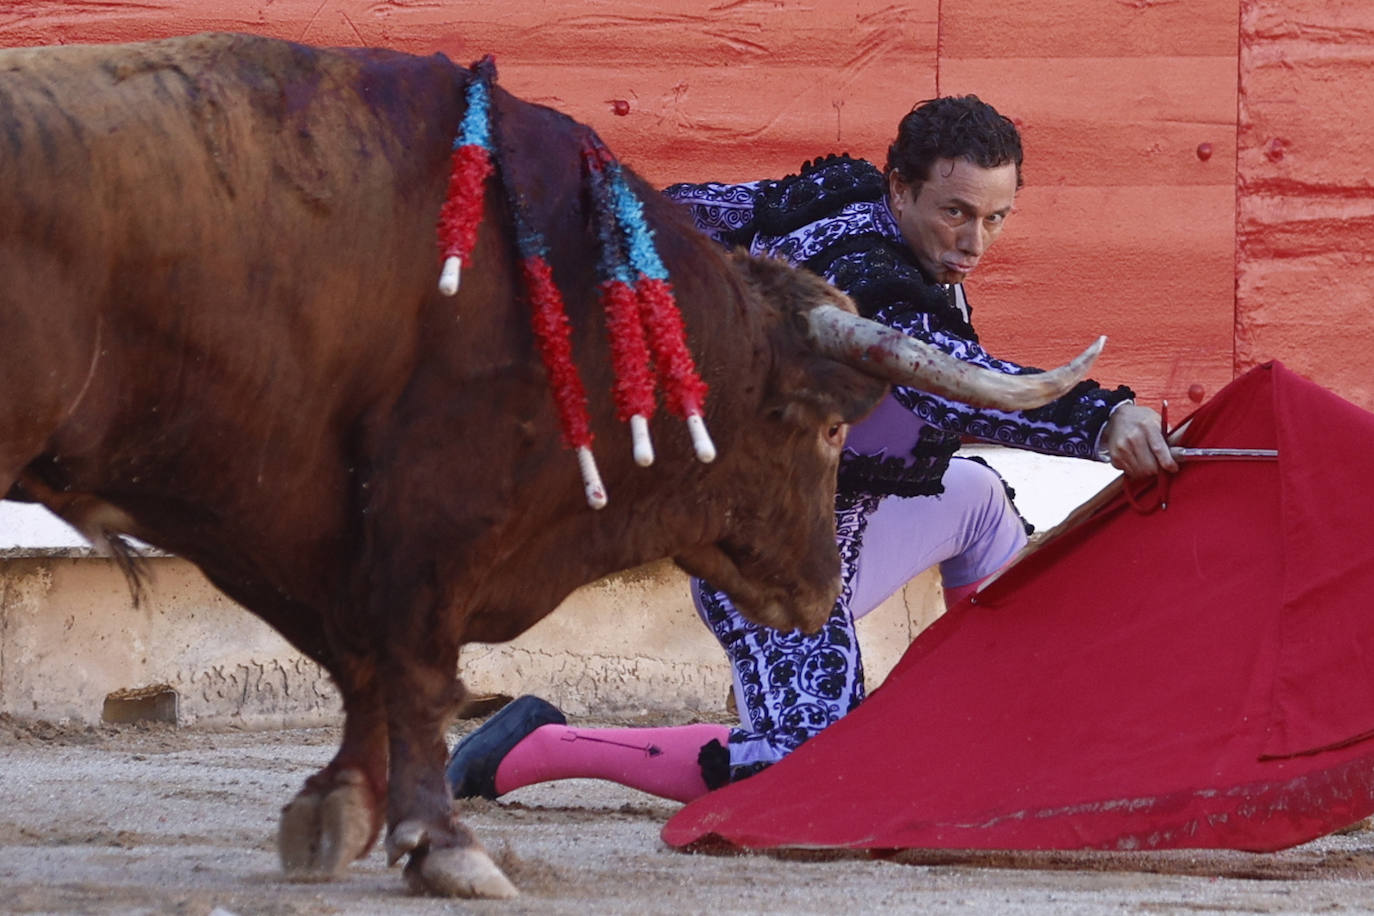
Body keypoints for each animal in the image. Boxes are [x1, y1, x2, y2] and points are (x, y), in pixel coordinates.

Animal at [0, 33, 1099, 895]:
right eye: (830, 432)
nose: (817, 588)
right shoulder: (431, 509)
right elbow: (410, 662)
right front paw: (442, 846)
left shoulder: (326, 523)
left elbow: (365, 661)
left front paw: (338, 812)